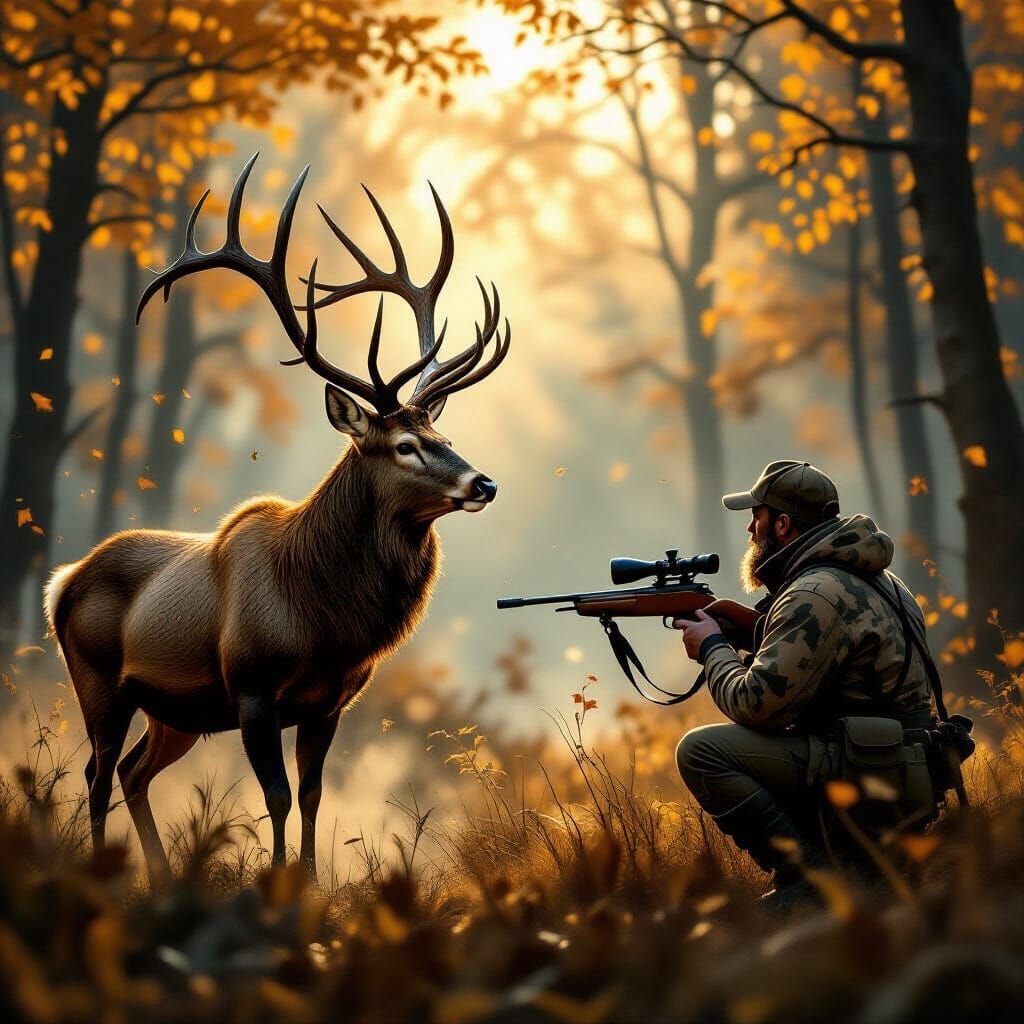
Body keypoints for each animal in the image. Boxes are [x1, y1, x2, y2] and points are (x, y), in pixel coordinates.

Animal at [44, 153, 510, 883]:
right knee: (95, 772)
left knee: (131, 772)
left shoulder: (329, 702)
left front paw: (313, 885)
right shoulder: (254, 690)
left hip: (174, 712)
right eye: (404, 445)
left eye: (443, 434)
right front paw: (281, 883)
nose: (482, 482)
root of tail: (60, 583)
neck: (325, 620)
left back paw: (161, 874)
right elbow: (279, 796)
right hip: (97, 680)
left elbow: (314, 795)